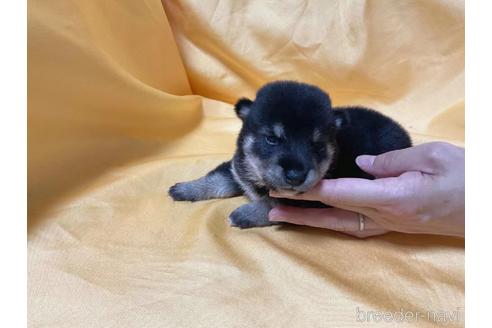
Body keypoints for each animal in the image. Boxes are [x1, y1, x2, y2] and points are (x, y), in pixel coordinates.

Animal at [169, 80, 412, 228]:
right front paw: (185, 189)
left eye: (317, 145)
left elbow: (273, 203)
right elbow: (216, 179)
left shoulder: (308, 202)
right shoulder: (237, 168)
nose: (296, 176)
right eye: (272, 139)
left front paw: (244, 214)